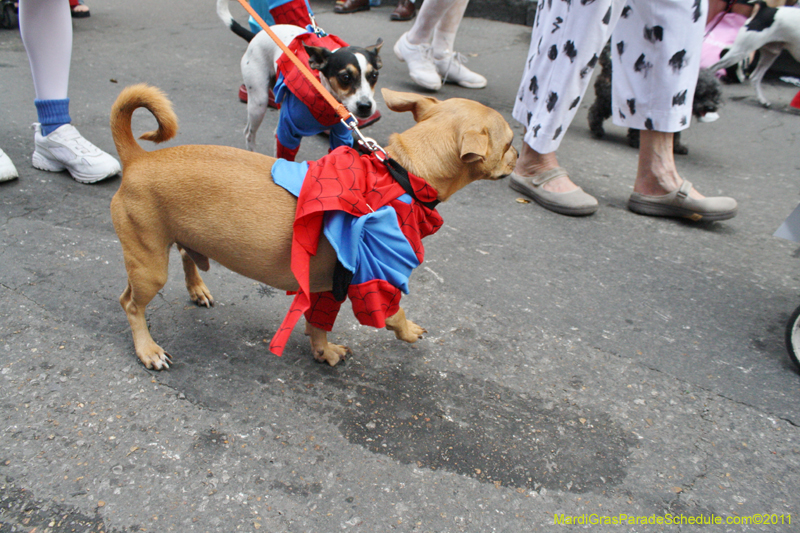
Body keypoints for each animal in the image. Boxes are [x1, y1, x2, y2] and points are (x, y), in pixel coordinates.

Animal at [109, 83, 516, 368]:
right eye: (510, 140)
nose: (517, 155)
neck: (402, 174)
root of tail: (138, 159)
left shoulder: (330, 285)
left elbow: (319, 324)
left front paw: (323, 351)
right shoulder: (374, 281)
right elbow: (394, 314)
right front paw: (408, 330)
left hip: (180, 238)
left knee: (186, 254)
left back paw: (197, 288)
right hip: (148, 268)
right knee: (130, 303)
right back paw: (147, 349)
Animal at [217, 0, 382, 154]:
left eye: (374, 75)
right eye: (345, 77)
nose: (365, 106)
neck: (327, 98)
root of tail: (257, 35)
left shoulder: (341, 136)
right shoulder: (287, 133)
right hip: (258, 102)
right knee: (249, 133)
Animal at [584, 43, 720, 154]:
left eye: (715, 95)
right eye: (702, 94)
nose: (711, 107)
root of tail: (609, 65)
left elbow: (675, 134)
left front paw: (677, 147)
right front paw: (636, 141)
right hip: (609, 100)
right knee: (595, 111)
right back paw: (597, 129)